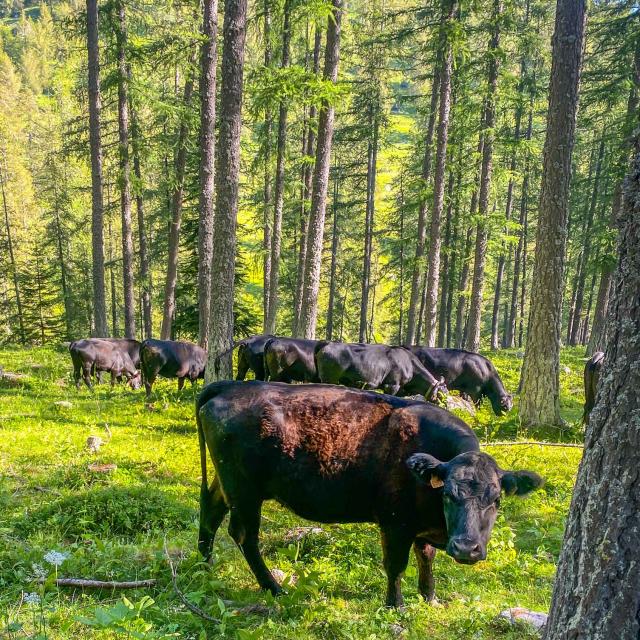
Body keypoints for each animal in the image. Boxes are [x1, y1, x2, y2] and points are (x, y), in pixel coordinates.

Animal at [198, 382, 544, 608]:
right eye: (447, 494)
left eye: (496, 500)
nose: (465, 548)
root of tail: (229, 386)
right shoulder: (395, 524)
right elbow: (396, 565)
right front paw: (395, 605)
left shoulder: (420, 528)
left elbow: (426, 559)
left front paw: (430, 598)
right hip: (245, 493)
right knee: (243, 535)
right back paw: (273, 588)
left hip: (225, 484)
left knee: (210, 513)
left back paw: (205, 568)